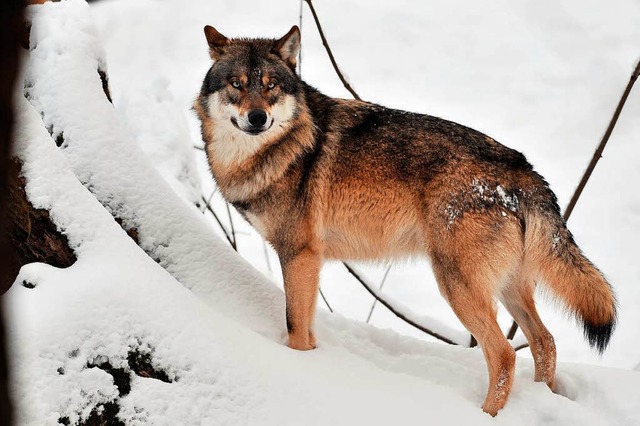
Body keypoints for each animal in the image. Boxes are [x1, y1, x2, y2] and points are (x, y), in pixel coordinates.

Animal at [194, 25, 616, 414]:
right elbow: (307, 330)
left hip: (457, 285)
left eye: (271, 87)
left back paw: (485, 414)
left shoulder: (299, 256)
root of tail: (521, 167)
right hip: (507, 286)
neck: (269, 154)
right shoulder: (307, 263)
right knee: (545, 342)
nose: (257, 118)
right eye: (236, 84)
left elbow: (295, 330)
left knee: (506, 354)